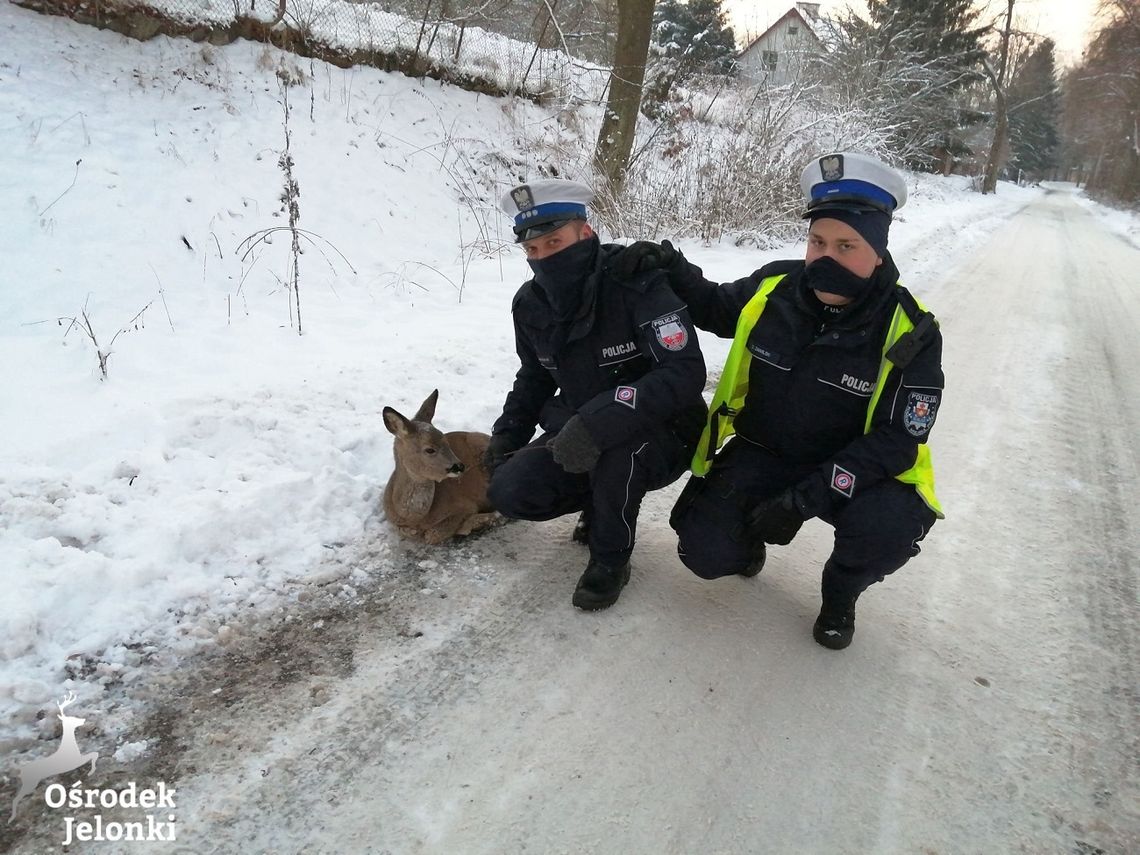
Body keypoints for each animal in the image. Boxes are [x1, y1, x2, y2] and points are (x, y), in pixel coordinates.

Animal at [383, 392, 499, 544]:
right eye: (429, 449)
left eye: (446, 441)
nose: (460, 466)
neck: (414, 517)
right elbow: (411, 532)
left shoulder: (466, 505)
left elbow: (432, 534)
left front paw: (482, 520)